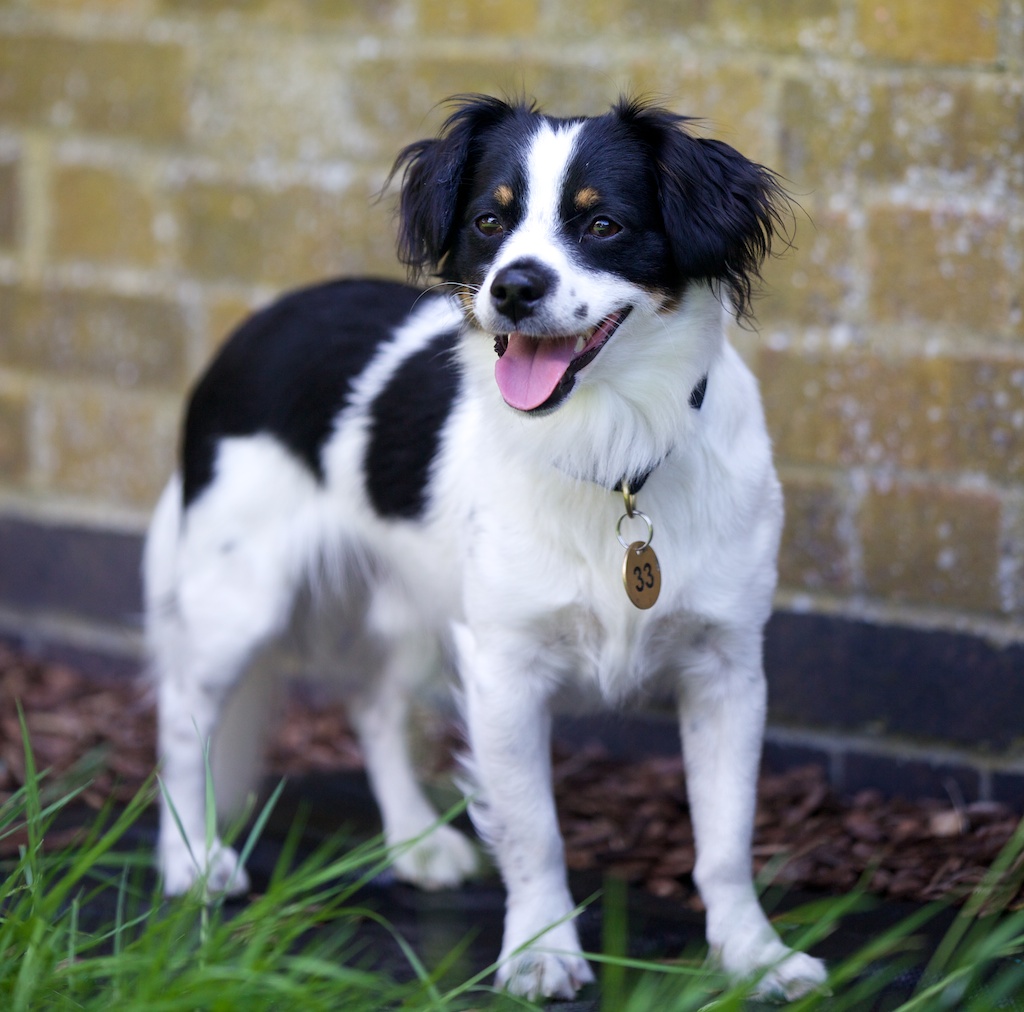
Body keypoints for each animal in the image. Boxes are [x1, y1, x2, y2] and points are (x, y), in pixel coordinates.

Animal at [144, 92, 827, 995]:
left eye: (603, 224)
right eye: (488, 221)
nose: (513, 286)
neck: (611, 449)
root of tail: (255, 323)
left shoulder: (728, 668)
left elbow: (726, 839)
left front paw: (753, 955)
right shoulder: (505, 665)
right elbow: (534, 829)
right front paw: (541, 951)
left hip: (414, 604)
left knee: (374, 705)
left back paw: (414, 841)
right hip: (239, 600)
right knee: (185, 718)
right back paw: (191, 862)